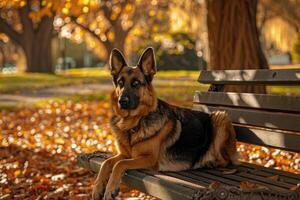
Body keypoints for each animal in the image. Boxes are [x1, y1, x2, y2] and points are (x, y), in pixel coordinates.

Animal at [91, 47, 237, 199]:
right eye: (120, 83)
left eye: (136, 83)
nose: (122, 101)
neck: (133, 123)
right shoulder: (125, 154)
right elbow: (107, 163)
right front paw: (97, 187)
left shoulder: (148, 159)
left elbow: (119, 164)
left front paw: (110, 189)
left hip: (220, 117)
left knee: (225, 160)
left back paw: (206, 161)